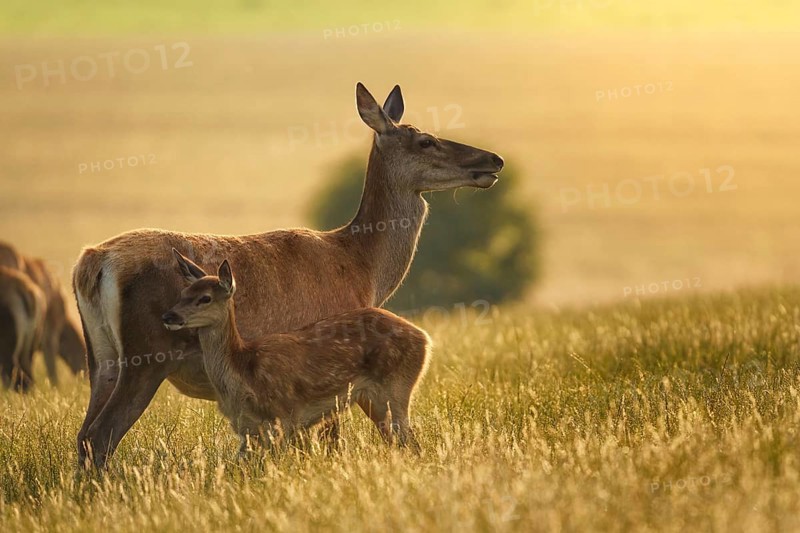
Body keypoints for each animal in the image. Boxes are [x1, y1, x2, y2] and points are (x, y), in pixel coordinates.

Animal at [163, 250, 430, 454]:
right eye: (182, 294)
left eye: (205, 298)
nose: (169, 316)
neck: (242, 370)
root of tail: (425, 339)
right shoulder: (246, 428)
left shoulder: (286, 415)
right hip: (376, 400)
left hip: (397, 386)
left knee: (410, 440)